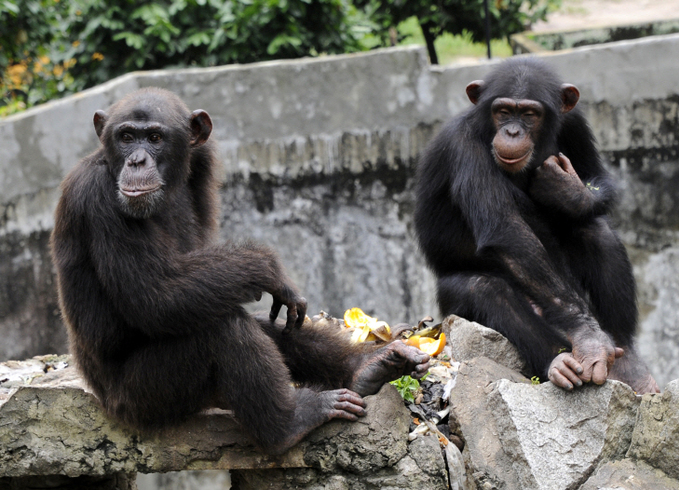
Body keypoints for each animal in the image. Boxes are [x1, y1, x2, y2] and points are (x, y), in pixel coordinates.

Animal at [51, 88, 430, 456]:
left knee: (264, 322)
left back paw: (370, 367)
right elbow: (156, 295)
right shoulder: (98, 196)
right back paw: (290, 422)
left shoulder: (201, 168)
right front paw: (268, 268)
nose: (136, 160)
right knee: (223, 329)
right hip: (145, 398)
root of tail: (104, 402)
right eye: (126, 136)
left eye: (155, 137)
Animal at [414, 57, 660, 394]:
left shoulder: (575, 122)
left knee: (596, 231)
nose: (512, 131)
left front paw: (567, 191)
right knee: (484, 289)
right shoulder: (462, 145)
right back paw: (559, 361)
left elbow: (598, 176)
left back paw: (630, 367)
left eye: (530, 114)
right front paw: (589, 337)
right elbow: (505, 231)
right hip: (455, 306)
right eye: (503, 111)